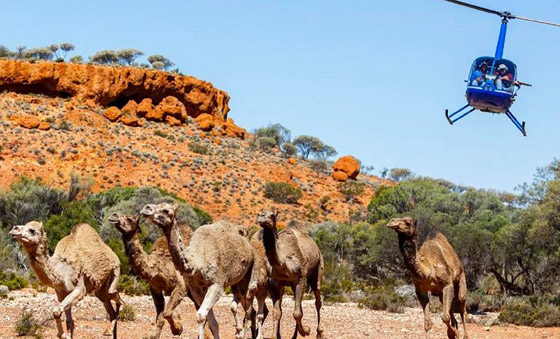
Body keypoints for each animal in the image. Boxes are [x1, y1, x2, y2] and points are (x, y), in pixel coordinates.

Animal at [140, 203, 256, 338]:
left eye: (166, 210)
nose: (146, 208)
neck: (197, 261)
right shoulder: (196, 289)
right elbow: (212, 323)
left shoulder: (217, 284)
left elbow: (200, 316)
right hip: (235, 282)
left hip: (247, 275)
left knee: (249, 310)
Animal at [255, 210, 324, 339]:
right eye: (259, 212)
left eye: (272, 215)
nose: (261, 217)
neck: (283, 263)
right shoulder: (274, 284)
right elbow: (277, 312)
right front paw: (274, 336)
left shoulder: (301, 279)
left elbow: (296, 313)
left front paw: (306, 331)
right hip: (291, 285)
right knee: (300, 305)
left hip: (318, 269)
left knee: (317, 300)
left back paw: (320, 333)